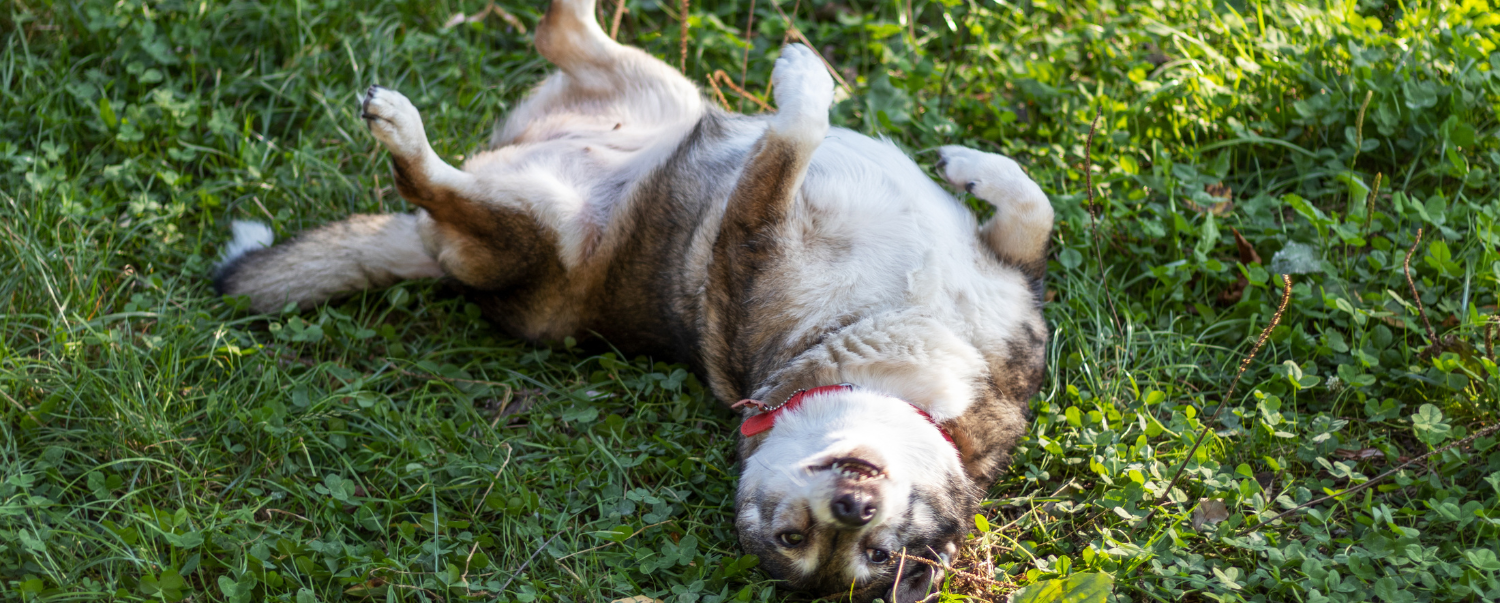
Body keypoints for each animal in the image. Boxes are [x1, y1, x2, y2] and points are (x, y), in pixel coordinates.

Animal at [217, 0, 1050, 597]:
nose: (853, 509)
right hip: (665, 93)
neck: (905, 383)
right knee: (561, 29)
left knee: (430, 179)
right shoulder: (1008, 283)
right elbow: (1032, 210)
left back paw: (401, 128)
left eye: (868, 551)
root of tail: (433, 251)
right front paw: (969, 162)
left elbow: (791, 141)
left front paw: (807, 89)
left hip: (532, 228)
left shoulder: (748, 236)